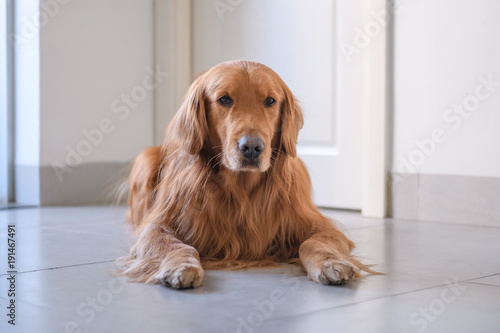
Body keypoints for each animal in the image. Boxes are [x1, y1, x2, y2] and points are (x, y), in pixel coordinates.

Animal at [118, 60, 378, 288]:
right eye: (224, 99)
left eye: (270, 100)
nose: (251, 147)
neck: (241, 188)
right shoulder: (158, 225)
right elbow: (175, 244)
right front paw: (180, 266)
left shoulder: (320, 226)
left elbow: (314, 243)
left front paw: (332, 264)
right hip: (146, 160)